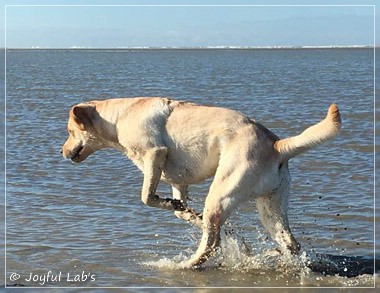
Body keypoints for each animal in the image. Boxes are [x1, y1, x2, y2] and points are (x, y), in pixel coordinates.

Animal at [60, 97, 340, 266]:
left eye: (70, 132)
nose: (61, 152)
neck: (119, 117)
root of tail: (277, 145)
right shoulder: (177, 180)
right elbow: (179, 210)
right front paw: (187, 213)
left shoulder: (155, 153)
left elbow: (146, 196)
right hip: (271, 207)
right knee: (291, 243)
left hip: (220, 195)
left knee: (212, 244)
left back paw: (187, 265)